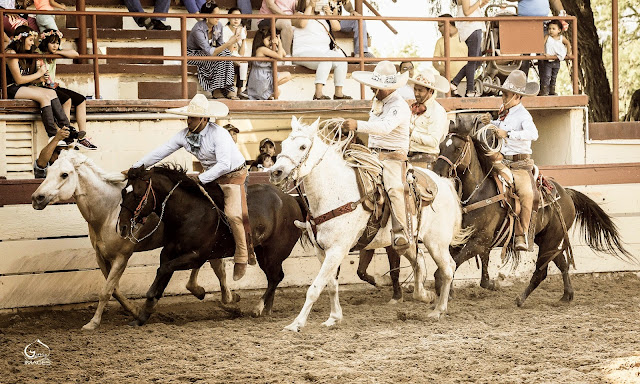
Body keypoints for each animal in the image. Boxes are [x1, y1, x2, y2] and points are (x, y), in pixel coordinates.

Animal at [31, 150, 239, 330]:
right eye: (48, 171)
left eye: (64, 174)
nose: (36, 198)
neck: (108, 212)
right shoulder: (101, 256)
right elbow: (114, 289)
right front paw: (135, 311)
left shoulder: (122, 256)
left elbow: (106, 290)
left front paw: (93, 323)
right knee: (214, 265)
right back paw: (214, 295)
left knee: (217, 267)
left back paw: (225, 299)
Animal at [118, 164, 304, 324]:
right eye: (123, 192)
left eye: (137, 195)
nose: (122, 226)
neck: (189, 213)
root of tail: (291, 200)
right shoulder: (168, 253)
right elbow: (163, 273)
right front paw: (142, 316)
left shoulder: (196, 256)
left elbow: (163, 270)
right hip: (263, 252)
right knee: (274, 278)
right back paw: (267, 309)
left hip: (273, 253)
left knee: (276, 277)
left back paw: (258, 308)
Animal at [270, 118, 470, 332]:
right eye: (283, 144)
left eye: (302, 146)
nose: (276, 172)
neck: (334, 190)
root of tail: (444, 183)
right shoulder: (322, 251)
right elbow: (331, 285)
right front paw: (334, 317)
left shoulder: (337, 250)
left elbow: (315, 288)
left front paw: (296, 324)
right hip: (406, 241)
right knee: (420, 263)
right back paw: (425, 296)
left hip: (436, 242)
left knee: (447, 268)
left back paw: (439, 310)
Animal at [430, 120, 636, 306]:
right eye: (440, 146)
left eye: (457, 148)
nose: (437, 172)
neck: (479, 191)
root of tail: (566, 193)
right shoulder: (467, 241)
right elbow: (459, 267)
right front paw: (452, 292)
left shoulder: (479, 241)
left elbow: (453, 265)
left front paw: (444, 293)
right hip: (547, 241)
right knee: (562, 264)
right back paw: (566, 296)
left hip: (550, 241)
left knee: (541, 272)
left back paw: (521, 299)